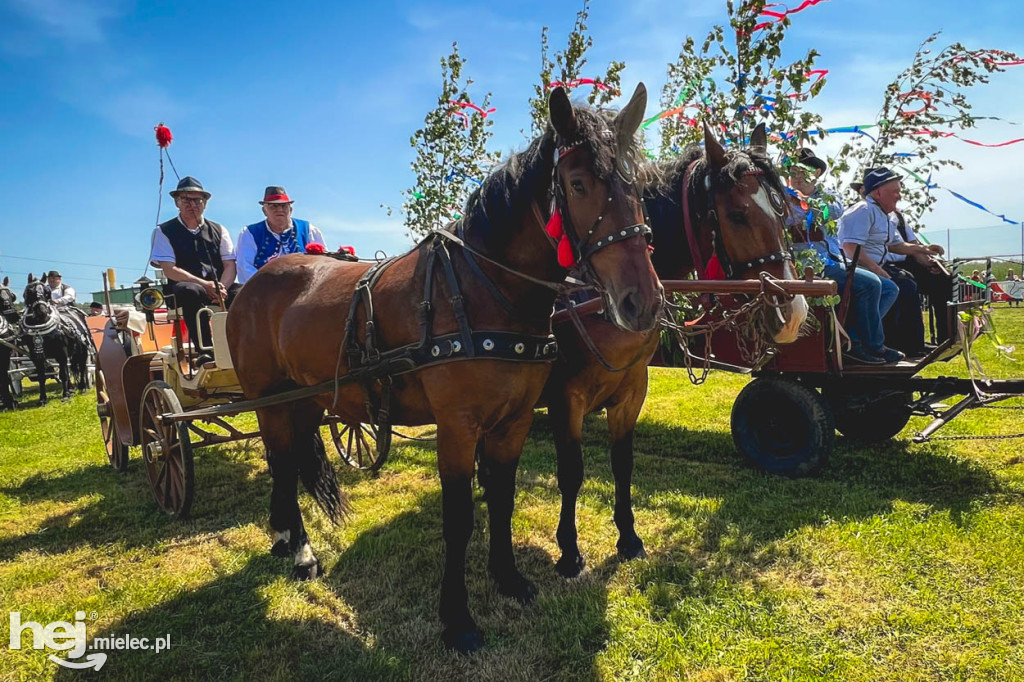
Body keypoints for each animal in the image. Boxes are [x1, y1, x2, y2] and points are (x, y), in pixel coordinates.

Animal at [19, 274, 92, 403]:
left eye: (47, 292)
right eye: (29, 292)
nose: (42, 312)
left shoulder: (61, 352)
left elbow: (63, 374)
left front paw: (65, 395)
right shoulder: (36, 356)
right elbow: (41, 376)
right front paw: (42, 399)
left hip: (82, 350)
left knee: (82, 367)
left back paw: (82, 387)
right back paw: (71, 388)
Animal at [228, 86, 663, 655]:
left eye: (640, 186)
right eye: (577, 183)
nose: (643, 302)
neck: (484, 293)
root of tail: (254, 282)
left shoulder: (514, 421)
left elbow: (501, 498)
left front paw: (509, 578)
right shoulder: (459, 426)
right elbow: (459, 519)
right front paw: (458, 619)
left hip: (305, 399)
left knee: (294, 460)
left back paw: (286, 540)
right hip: (269, 400)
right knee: (281, 462)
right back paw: (299, 550)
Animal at [544, 122, 806, 573]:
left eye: (782, 212)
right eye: (737, 215)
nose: (793, 312)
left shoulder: (632, 390)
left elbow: (623, 463)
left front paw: (629, 539)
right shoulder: (565, 397)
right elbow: (572, 472)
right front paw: (569, 551)